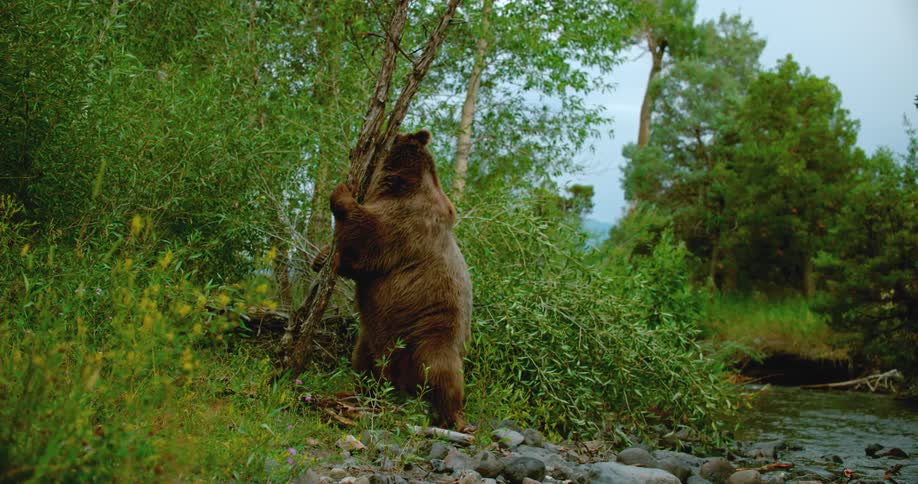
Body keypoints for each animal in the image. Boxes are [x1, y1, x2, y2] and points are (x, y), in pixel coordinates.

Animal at [315, 130, 472, 429]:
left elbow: (367, 235)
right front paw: (320, 258)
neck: (400, 185)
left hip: (431, 335)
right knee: (362, 362)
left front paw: (341, 192)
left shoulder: (405, 224)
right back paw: (360, 394)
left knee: (442, 373)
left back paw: (451, 417)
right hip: (371, 338)